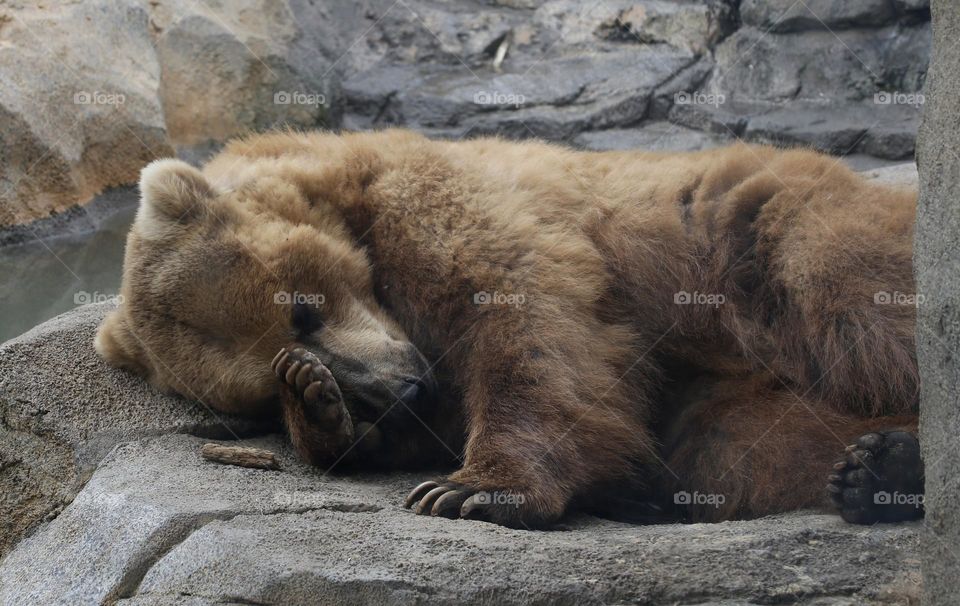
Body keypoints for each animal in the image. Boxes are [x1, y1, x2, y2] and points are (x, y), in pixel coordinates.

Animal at [95, 129, 923, 528]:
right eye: (257, 395)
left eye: (304, 309)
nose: (400, 390)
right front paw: (320, 405)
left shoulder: (437, 205)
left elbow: (524, 318)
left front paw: (470, 490)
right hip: (733, 394)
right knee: (749, 448)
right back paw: (875, 469)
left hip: (754, 234)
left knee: (854, 289)